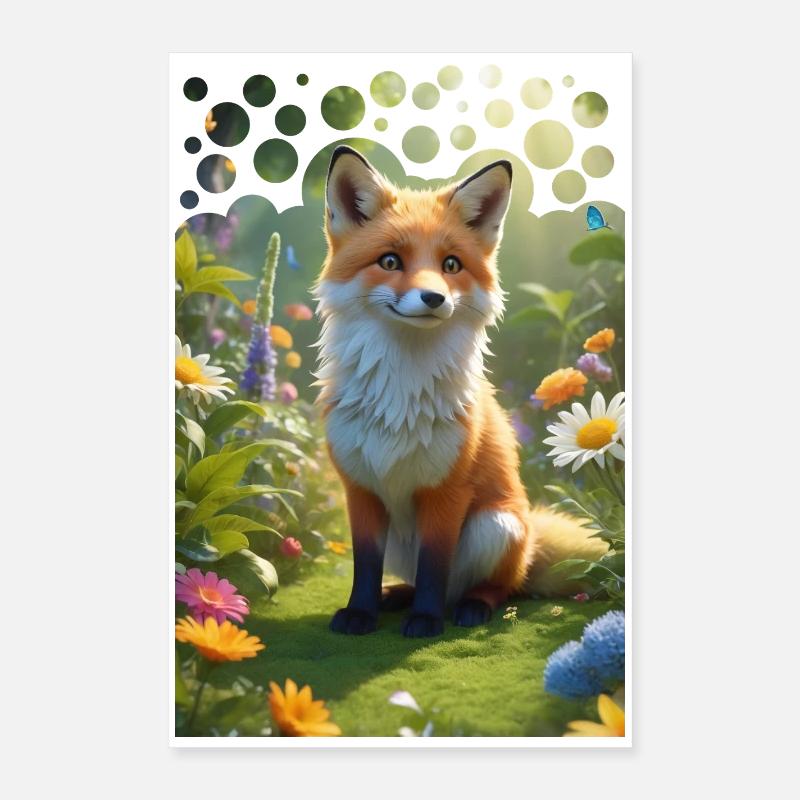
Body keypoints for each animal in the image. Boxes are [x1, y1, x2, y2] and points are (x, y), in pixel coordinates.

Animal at [313, 145, 607, 638]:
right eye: (390, 261)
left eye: (450, 265)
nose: (434, 298)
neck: (401, 394)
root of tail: (531, 538)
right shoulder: (361, 489)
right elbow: (365, 566)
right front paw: (360, 613)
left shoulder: (447, 492)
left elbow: (435, 565)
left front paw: (426, 621)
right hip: (405, 539)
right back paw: (398, 596)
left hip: (495, 525)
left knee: (496, 586)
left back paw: (470, 607)